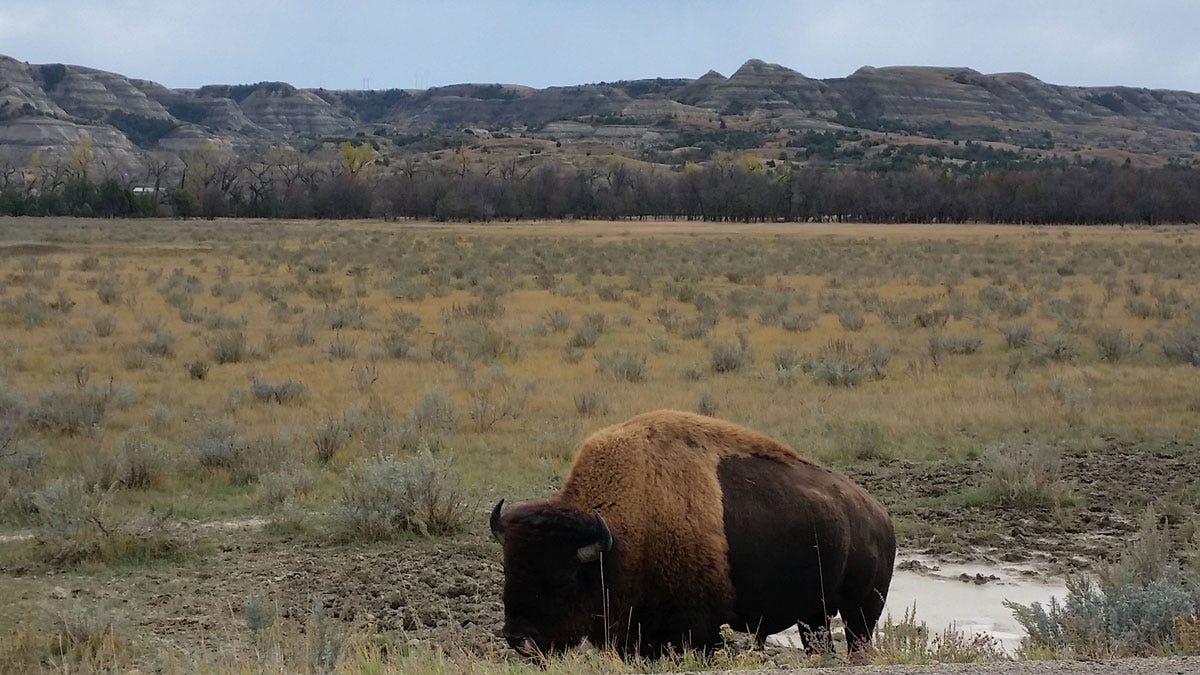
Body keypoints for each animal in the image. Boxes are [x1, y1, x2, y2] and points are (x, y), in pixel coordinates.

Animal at [492, 408, 897, 653]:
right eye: (508, 570)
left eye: (563, 579)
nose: (517, 637)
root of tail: (879, 516)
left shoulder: (696, 630)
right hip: (813, 614)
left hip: (861, 612)